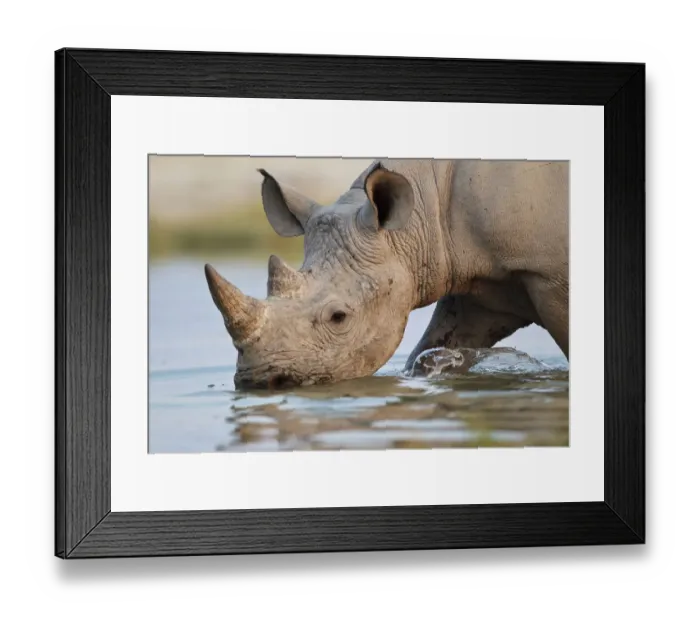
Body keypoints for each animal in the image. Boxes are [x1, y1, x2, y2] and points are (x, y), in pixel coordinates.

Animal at [204, 158, 568, 389]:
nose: (257, 381)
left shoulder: (548, 276)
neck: (420, 218)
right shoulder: (482, 286)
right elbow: (432, 345)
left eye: (339, 317)